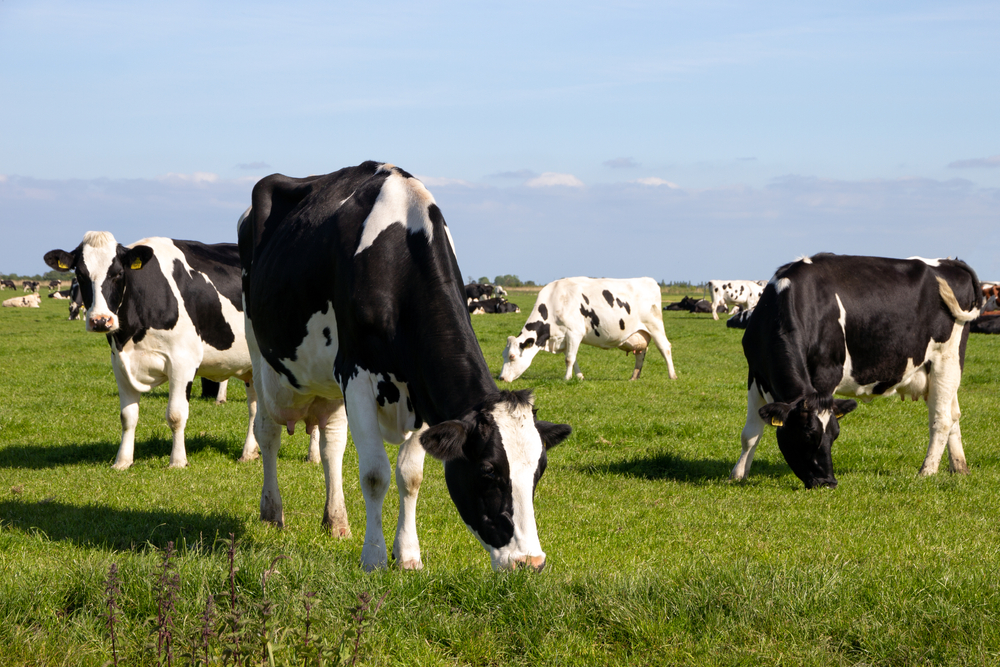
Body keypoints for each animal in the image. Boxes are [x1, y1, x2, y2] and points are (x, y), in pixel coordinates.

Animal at [43, 232, 262, 472]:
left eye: (118, 273)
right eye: (80, 274)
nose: (100, 320)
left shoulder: (183, 362)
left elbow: (176, 414)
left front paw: (178, 461)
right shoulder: (120, 364)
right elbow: (127, 416)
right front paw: (122, 461)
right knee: (255, 407)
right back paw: (249, 453)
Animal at [500, 276, 680, 380]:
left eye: (512, 356)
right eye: (503, 355)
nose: (501, 378)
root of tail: (649, 280)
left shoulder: (574, 333)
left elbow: (569, 358)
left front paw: (566, 379)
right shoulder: (565, 338)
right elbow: (573, 358)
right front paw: (579, 377)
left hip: (655, 326)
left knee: (665, 348)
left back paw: (672, 376)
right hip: (639, 333)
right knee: (641, 353)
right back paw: (634, 377)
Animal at [732, 253, 980, 488]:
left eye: (835, 435)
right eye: (807, 434)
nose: (828, 482)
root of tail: (950, 262)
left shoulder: (826, 374)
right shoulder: (755, 374)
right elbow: (750, 433)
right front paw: (738, 475)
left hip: (947, 359)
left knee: (942, 419)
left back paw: (927, 471)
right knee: (954, 414)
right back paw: (959, 467)